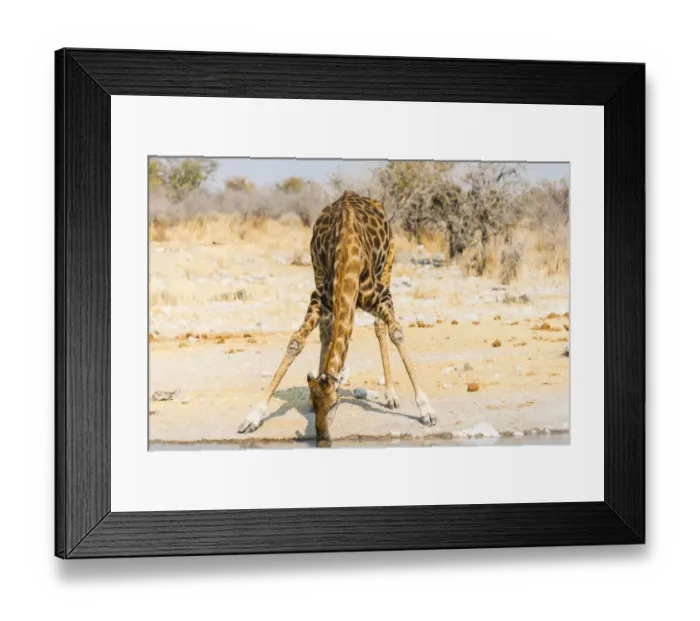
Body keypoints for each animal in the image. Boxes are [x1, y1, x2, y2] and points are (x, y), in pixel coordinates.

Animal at [237, 190, 437, 447]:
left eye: (334, 404)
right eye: (316, 403)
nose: (323, 441)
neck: (347, 258)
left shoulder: (382, 296)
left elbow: (396, 333)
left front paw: (427, 410)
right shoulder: (318, 298)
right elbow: (296, 342)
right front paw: (253, 416)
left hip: (388, 265)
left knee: (379, 327)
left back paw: (391, 395)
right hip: (317, 270)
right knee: (326, 331)